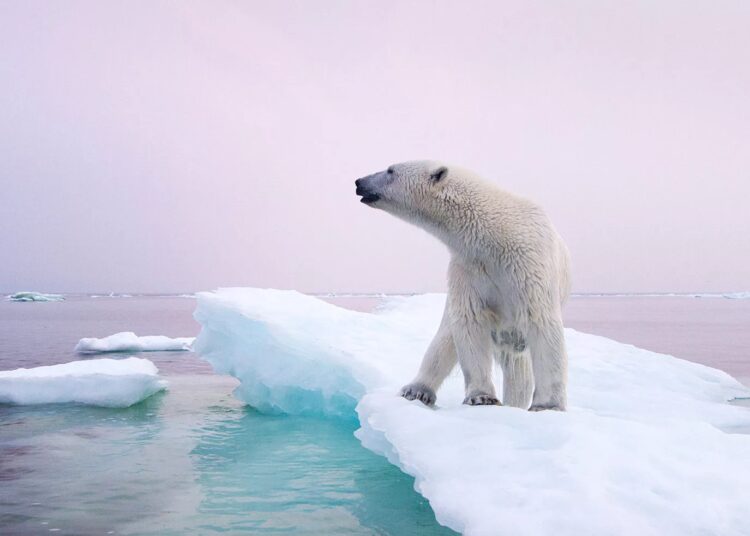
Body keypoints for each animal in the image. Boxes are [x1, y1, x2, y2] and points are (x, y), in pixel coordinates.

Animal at [356, 159, 572, 410]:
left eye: (391, 170)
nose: (359, 182)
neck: (495, 236)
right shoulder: (468, 269)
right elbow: (470, 320)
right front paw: (482, 397)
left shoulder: (528, 264)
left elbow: (541, 321)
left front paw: (547, 405)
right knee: (445, 340)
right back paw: (416, 390)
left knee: (519, 369)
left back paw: (514, 404)